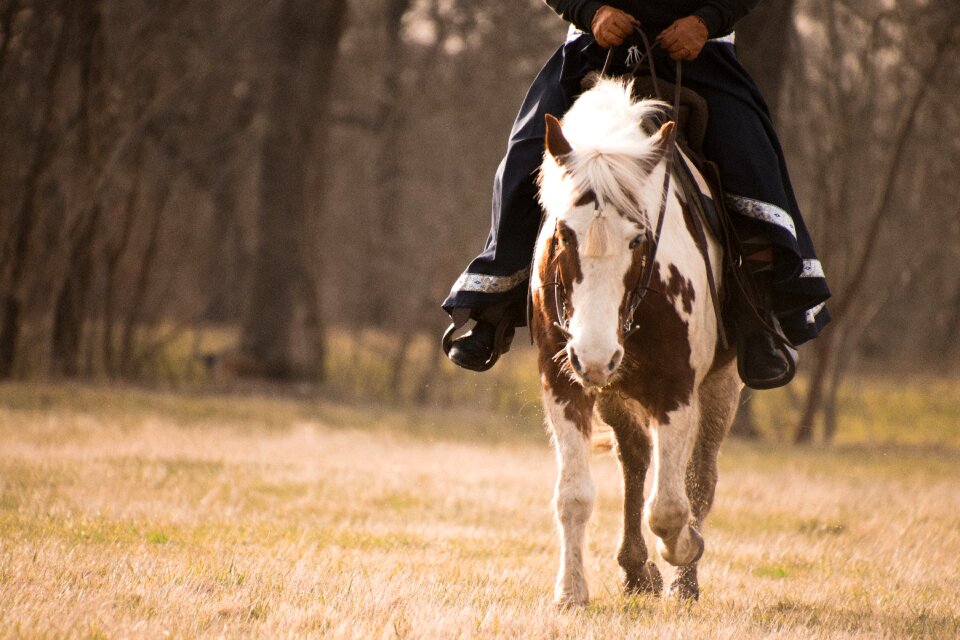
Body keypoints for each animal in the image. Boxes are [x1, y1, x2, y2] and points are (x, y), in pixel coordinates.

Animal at [532, 77, 744, 608]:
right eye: (563, 234)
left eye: (639, 239)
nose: (594, 356)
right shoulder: (563, 385)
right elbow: (574, 495)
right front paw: (571, 592)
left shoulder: (677, 391)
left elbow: (670, 505)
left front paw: (686, 548)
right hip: (612, 392)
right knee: (634, 459)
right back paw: (635, 568)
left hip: (720, 388)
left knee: (699, 477)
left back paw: (684, 583)